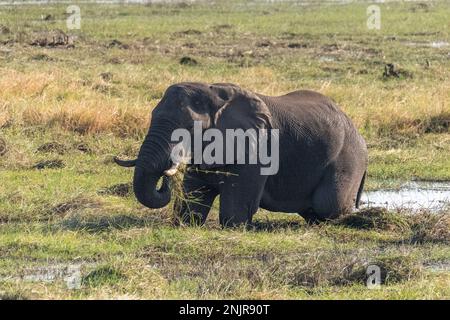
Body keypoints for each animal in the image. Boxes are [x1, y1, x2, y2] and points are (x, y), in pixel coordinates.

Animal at [115, 82, 370, 228]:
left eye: (188, 128)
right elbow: (194, 195)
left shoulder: (258, 149)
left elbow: (234, 210)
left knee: (328, 204)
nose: (167, 176)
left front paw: (234, 227)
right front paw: (186, 224)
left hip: (348, 159)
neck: (215, 95)